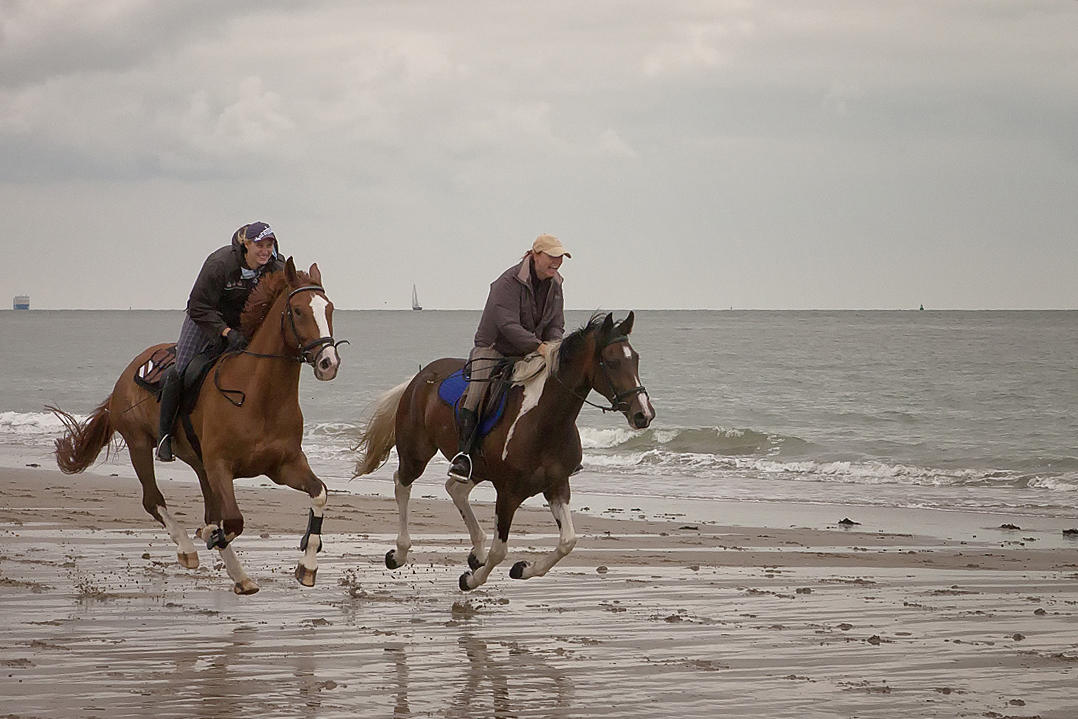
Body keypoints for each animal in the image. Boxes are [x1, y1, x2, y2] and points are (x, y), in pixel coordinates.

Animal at [51, 258, 340, 595]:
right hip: (140, 444)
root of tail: (125, 377)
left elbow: (318, 494)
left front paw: (308, 566)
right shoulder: (220, 466)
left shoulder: (284, 465)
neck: (260, 396)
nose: (328, 363)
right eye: (298, 310)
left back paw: (239, 575)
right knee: (153, 500)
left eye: (329, 308)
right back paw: (188, 549)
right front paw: (207, 536)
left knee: (206, 510)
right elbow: (232, 521)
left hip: (199, 464)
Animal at [357, 310, 651, 590]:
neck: (544, 421)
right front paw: (470, 581)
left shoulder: (556, 484)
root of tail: (419, 377)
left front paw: (522, 569)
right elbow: (500, 551)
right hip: (416, 453)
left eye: (636, 359)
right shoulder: (508, 493)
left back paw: (476, 551)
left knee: (455, 489)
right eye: (612, 362)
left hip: (475, 467)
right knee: (402, 484)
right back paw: (399, 553)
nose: (644, 415)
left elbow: (568, 541)